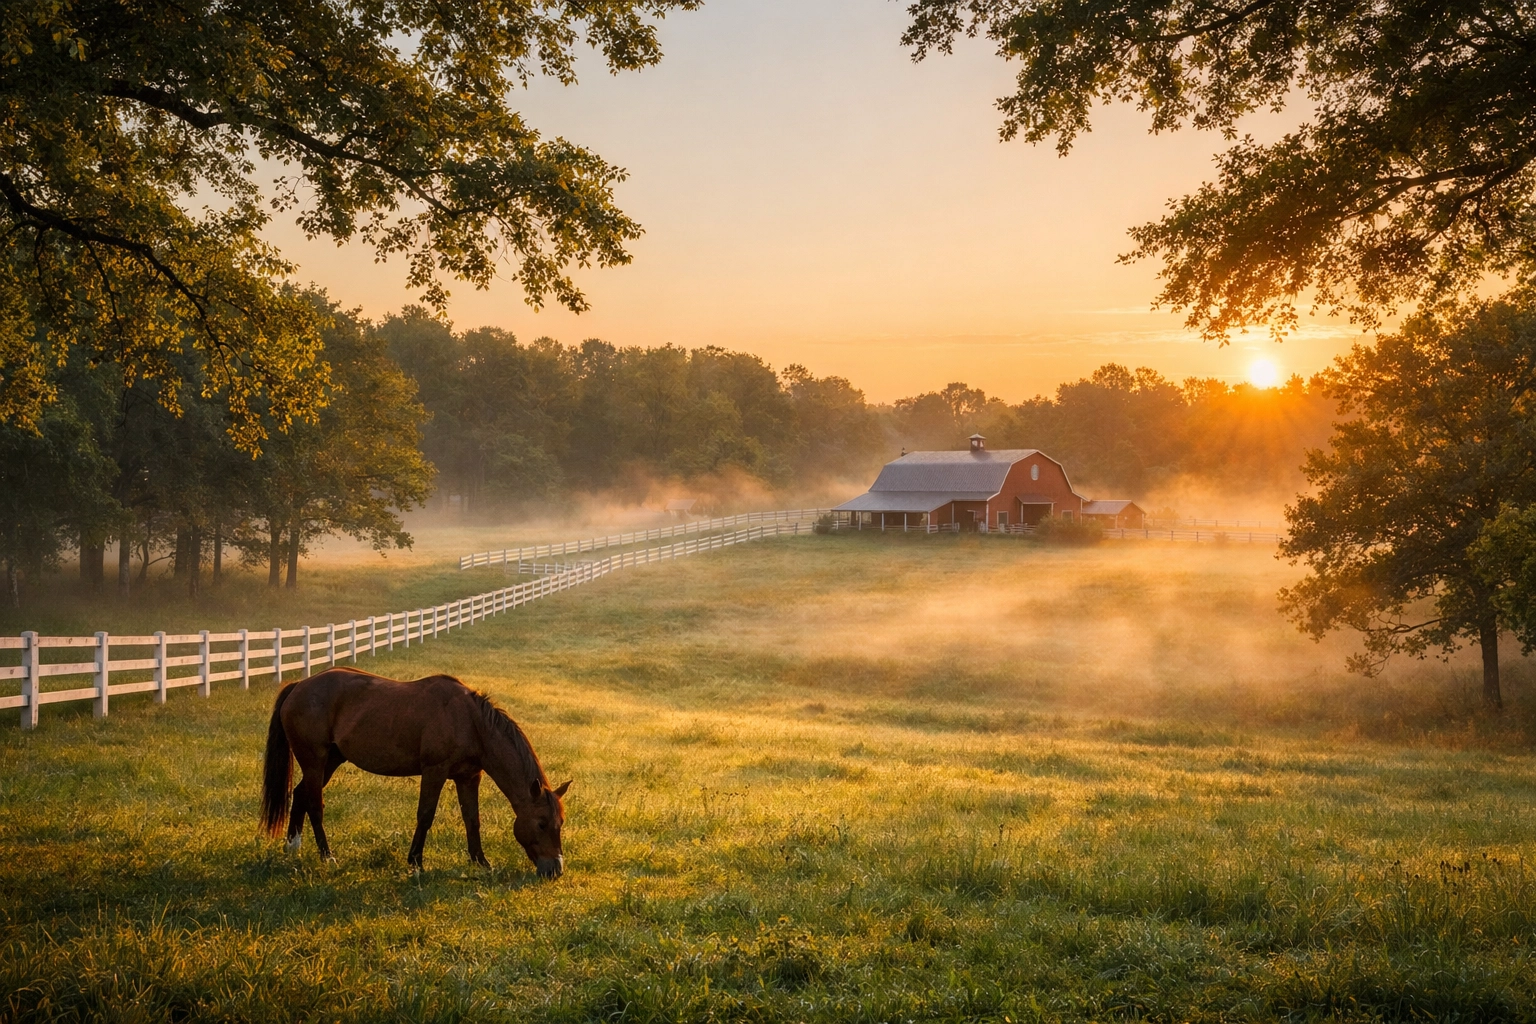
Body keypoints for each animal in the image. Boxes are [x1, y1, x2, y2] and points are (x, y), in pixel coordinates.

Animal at [260, 667, 571, 878]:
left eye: (560, 823)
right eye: (542, 823)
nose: (554, 869)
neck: (471, 722)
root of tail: (299, 686)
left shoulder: (468, 777)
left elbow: (472, 819)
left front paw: (481, 862)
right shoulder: (434, 771)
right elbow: (426, 815)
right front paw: (416, 862)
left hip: (330, 761)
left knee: (300, 794)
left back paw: (292, 848)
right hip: (315, 760)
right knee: (314, 804)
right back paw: (327, 856)